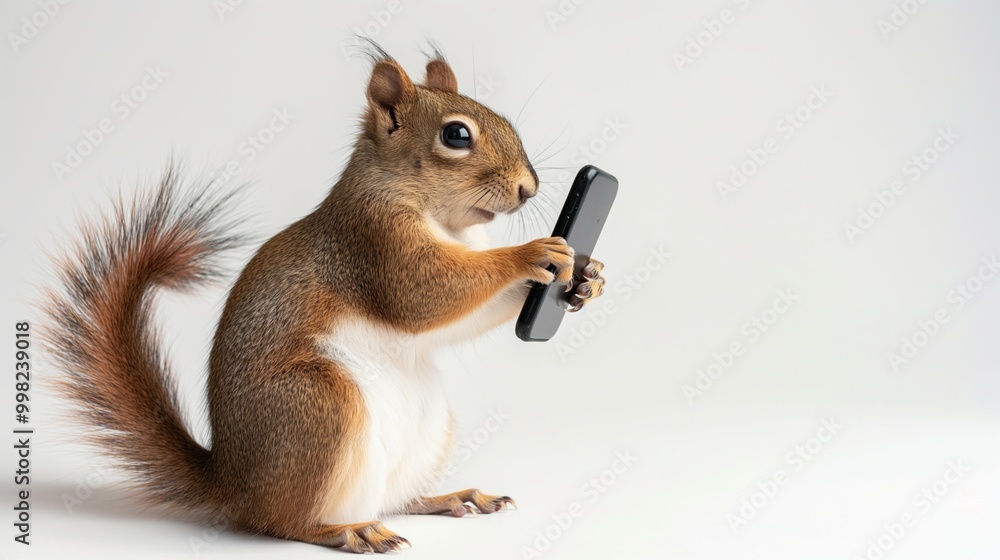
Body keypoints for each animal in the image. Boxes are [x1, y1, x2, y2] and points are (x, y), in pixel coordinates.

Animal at [40, 47, 606, 554]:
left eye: (504, 118)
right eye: (456, 135)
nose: (529, 188)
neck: (445, 220)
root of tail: (232, 485)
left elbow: (468, 313)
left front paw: (587, 278)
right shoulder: (373, 242)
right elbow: (425, 295)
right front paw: (532, 252)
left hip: (425, 433)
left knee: (397, 499)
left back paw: (451, 496)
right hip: (319, 403)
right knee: (282, 523)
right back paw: (347, 531)